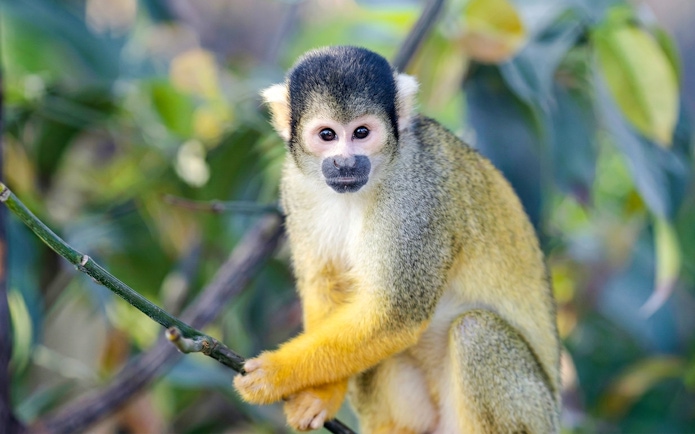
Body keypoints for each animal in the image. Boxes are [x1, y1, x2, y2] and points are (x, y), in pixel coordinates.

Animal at [234, 46, 561, 433]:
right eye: (327, 135)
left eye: (361, 132)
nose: (345, 163)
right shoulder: (294, 186)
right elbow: (327, 285)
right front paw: (322, 395)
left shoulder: (417, 195)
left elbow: (396, 315)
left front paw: (275, 374)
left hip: (535, 413)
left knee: (476, 332)